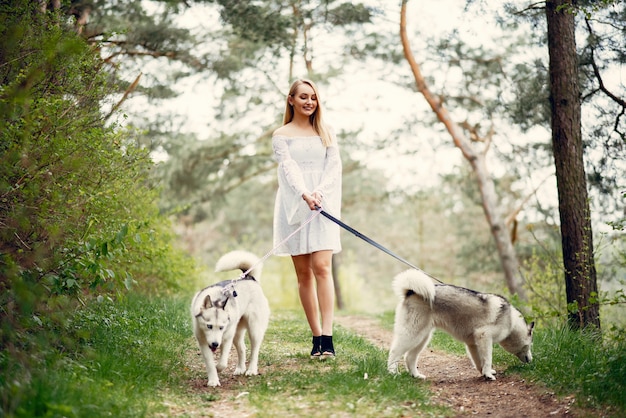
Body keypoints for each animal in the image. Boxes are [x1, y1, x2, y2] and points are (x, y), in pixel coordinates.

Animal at [190, 250, 268, 386]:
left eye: (221, 327)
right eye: (209, 326)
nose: (215, 344)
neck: (216, 299)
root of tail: (250, 278)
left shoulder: (226, 339)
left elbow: (222, 363)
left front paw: (218, 369)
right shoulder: (203, 342)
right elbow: (210, 363)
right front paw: (213, 380)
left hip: (253, 330)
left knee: (255, 350)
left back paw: (251, 370)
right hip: (237, 333)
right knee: (242, 348)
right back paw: (240, 368)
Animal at [386, 270, 532, 380]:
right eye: (530, 345)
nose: (531, 360)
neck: (512, 320)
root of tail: (411, 292)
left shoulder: (473, 344)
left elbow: (479, 361)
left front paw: (484, 372)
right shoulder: (484, 336)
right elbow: (488, 358)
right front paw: (488, 374)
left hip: (422, 338)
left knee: (409, 357)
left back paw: (416, 375)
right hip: (412, 335)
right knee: (394, 352)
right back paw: (392, 372)